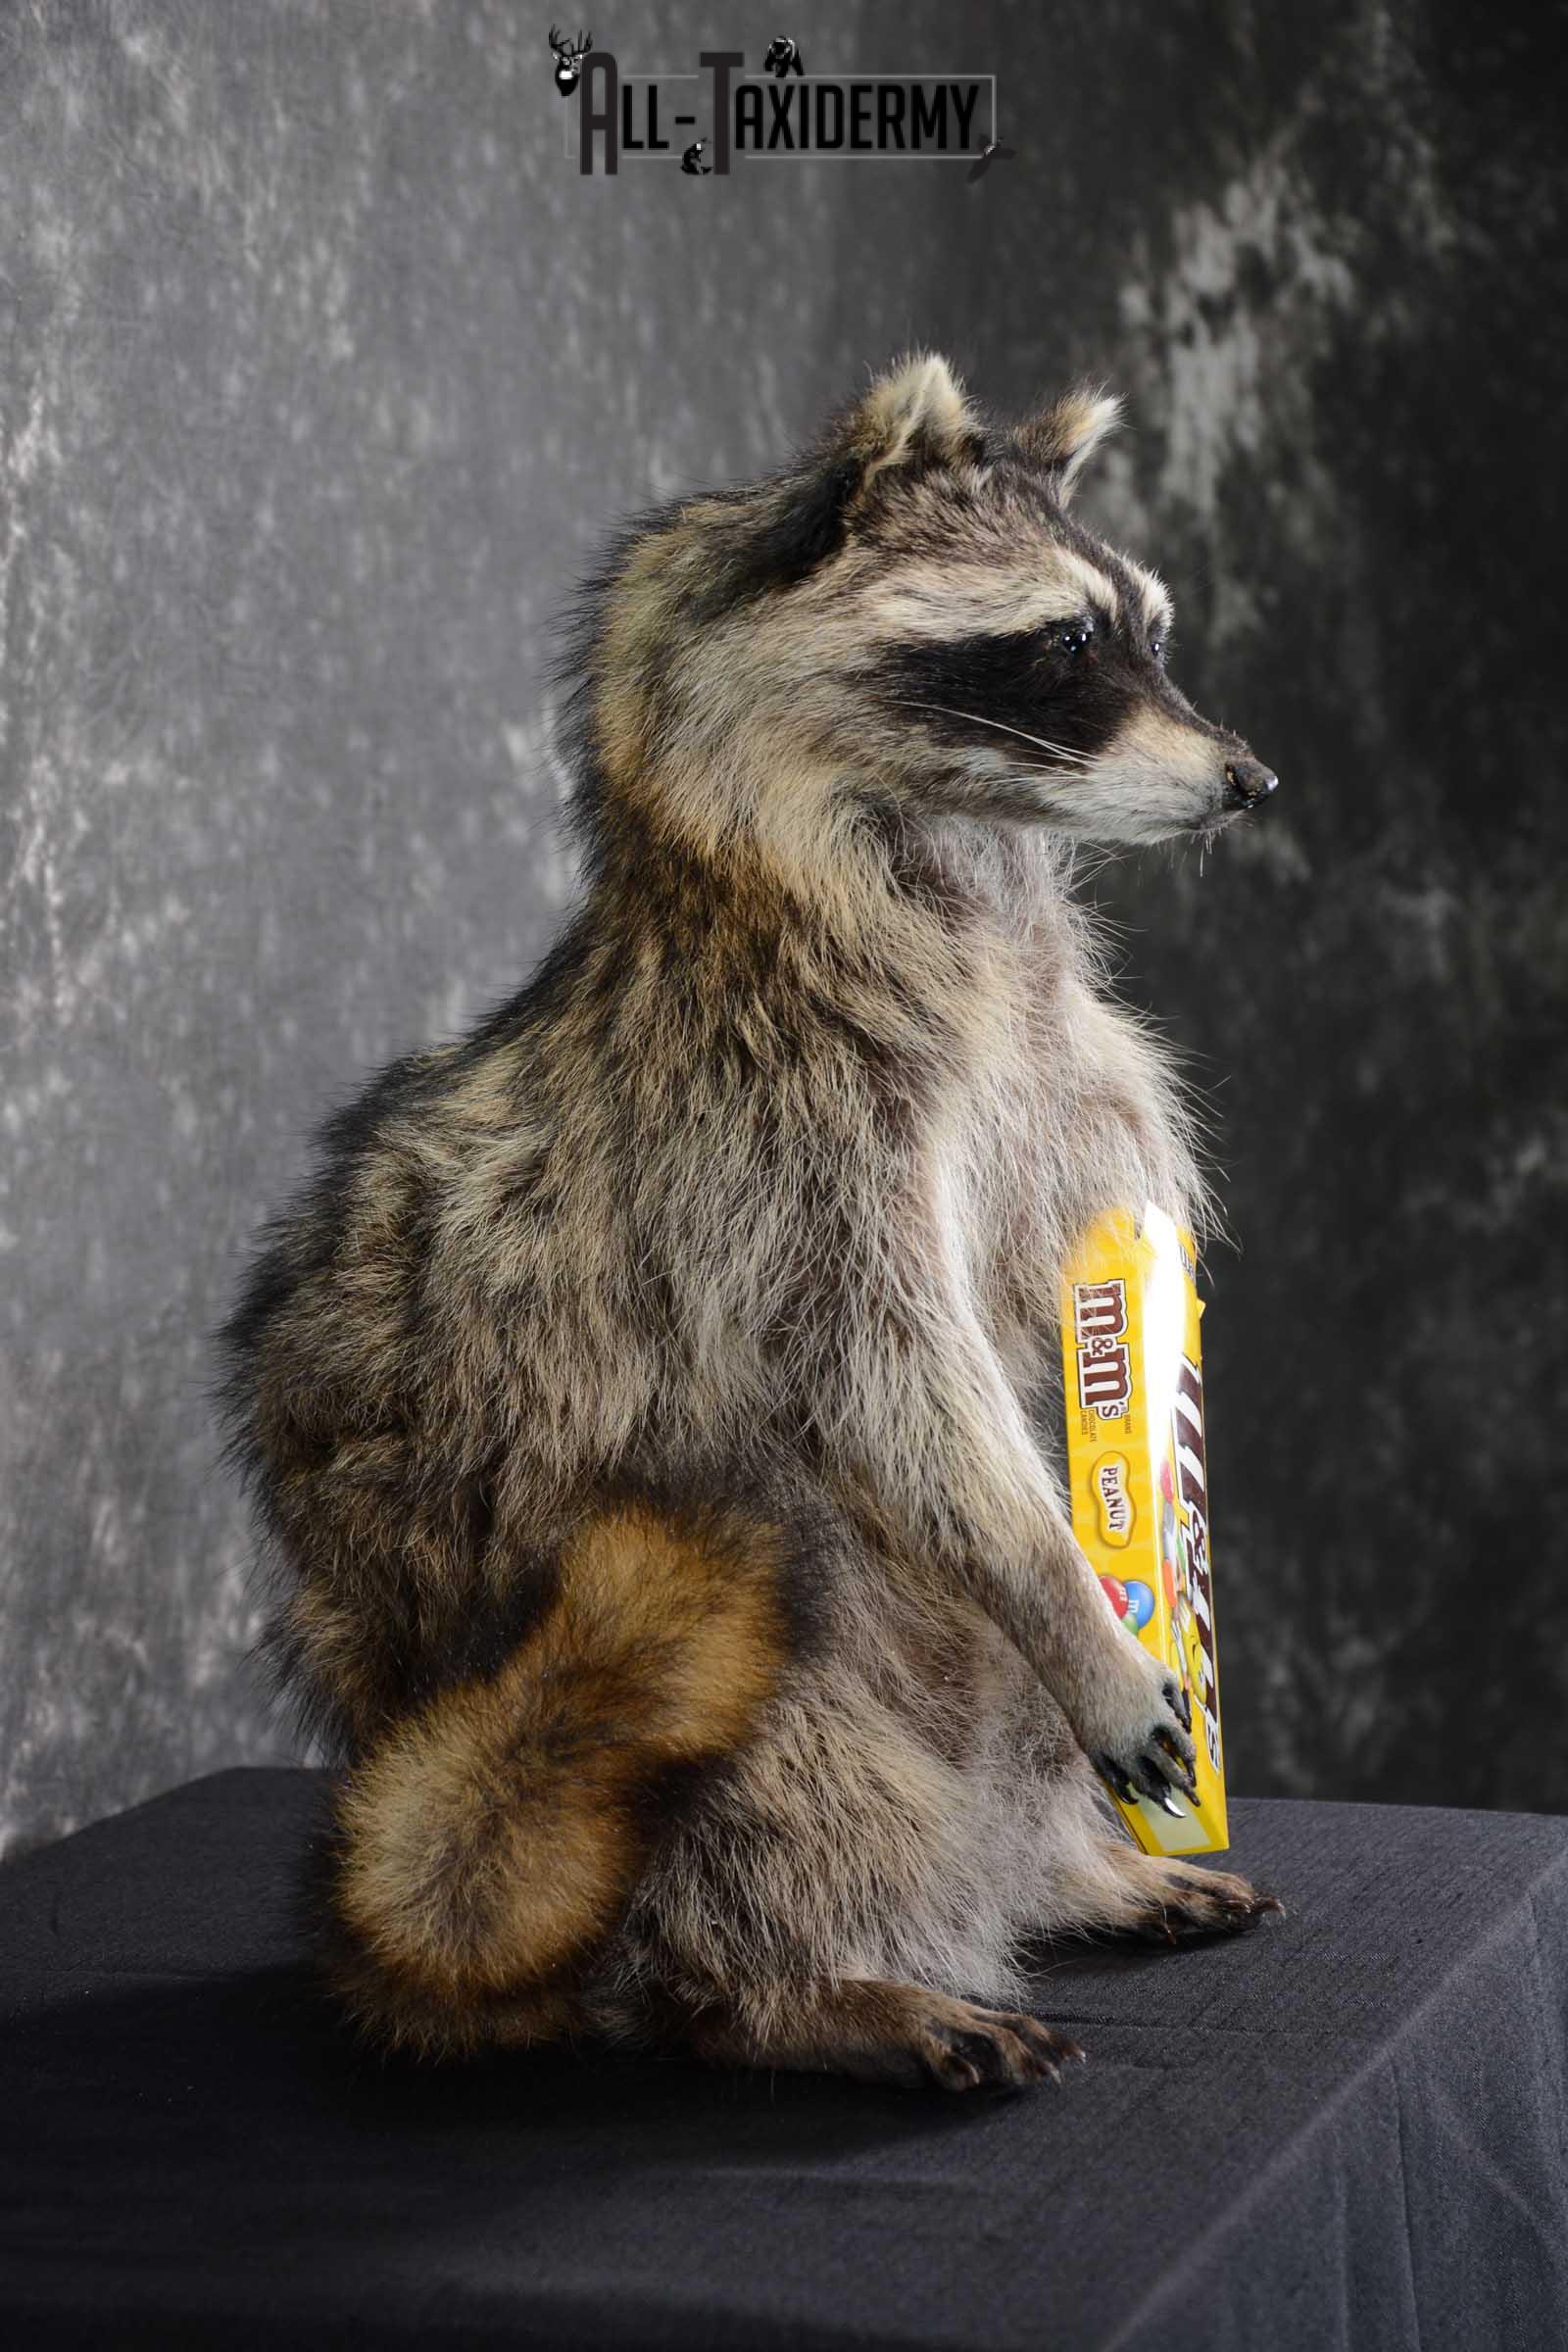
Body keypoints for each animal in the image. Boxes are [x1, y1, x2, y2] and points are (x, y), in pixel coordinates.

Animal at [220, 357, 1282, 2092]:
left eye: (1153, 631)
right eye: (1068, 644)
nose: (1250, 779)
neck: (954, 846)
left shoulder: (1066, 1073)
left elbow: (1059, 1290)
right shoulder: (769, 1134)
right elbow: (894, 1384)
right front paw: (1082, 1607)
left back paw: (1057, 1868)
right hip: (709, 1673)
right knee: (785, 1787)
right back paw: (804, 1984)